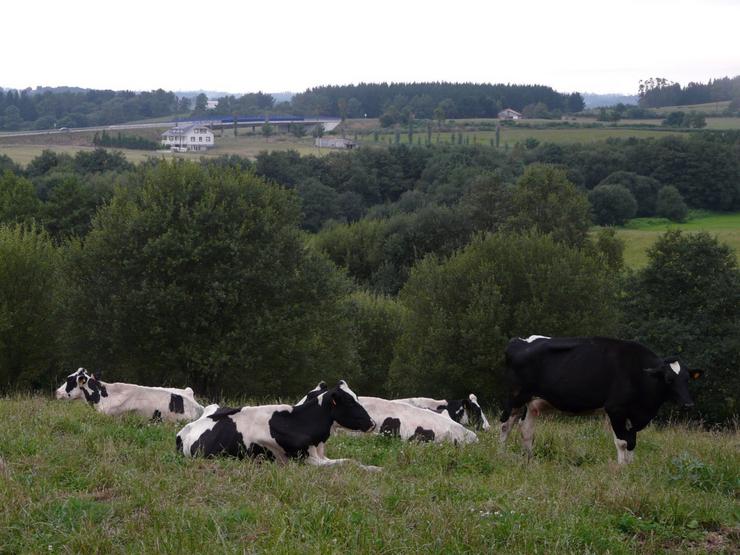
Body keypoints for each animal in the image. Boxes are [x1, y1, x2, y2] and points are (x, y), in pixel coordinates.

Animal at [176, 382, 378, 470]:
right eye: (350, 402)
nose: (373, 423)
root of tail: (187, 428)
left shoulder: (319, 455)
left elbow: (352, 461)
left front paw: (374, 468)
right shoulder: (305, 460)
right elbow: (347, 463)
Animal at [500, 334, 704, 464]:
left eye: (687, 379)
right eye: (669, 379)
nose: (688, 404)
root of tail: (519, 341)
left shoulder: (634, 415)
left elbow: (632, 442)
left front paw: (630, 467)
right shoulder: (615, 409)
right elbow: (623, 442)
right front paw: (622, 469)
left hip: (533, 402)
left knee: (526, 429)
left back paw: (529, 459)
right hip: (516, 396)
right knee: (505, 424)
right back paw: (501, 455)